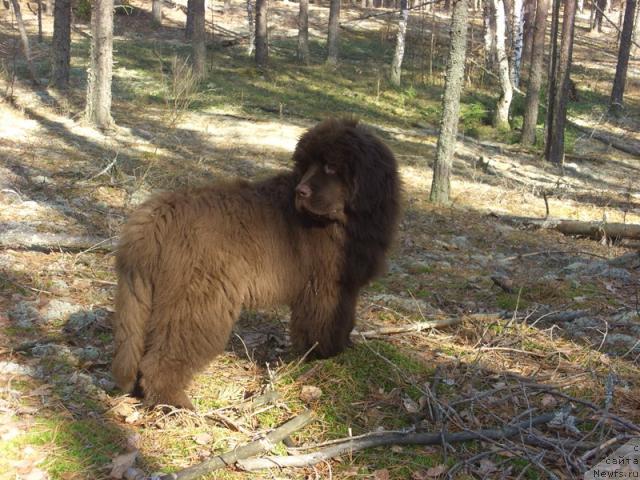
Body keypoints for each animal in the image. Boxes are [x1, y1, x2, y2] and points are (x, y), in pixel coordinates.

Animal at [110, 117, 400, 408]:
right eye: (307, 166)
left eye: (330, 166)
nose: (301, 191)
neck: (345, 221)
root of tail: (156, 215)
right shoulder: (326, 286)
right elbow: (327, 322)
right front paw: (324, 355)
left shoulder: (343, 287)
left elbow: (343, 318)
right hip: (199, 302)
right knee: (164, 355)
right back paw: (173, 402)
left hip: (151, 298)